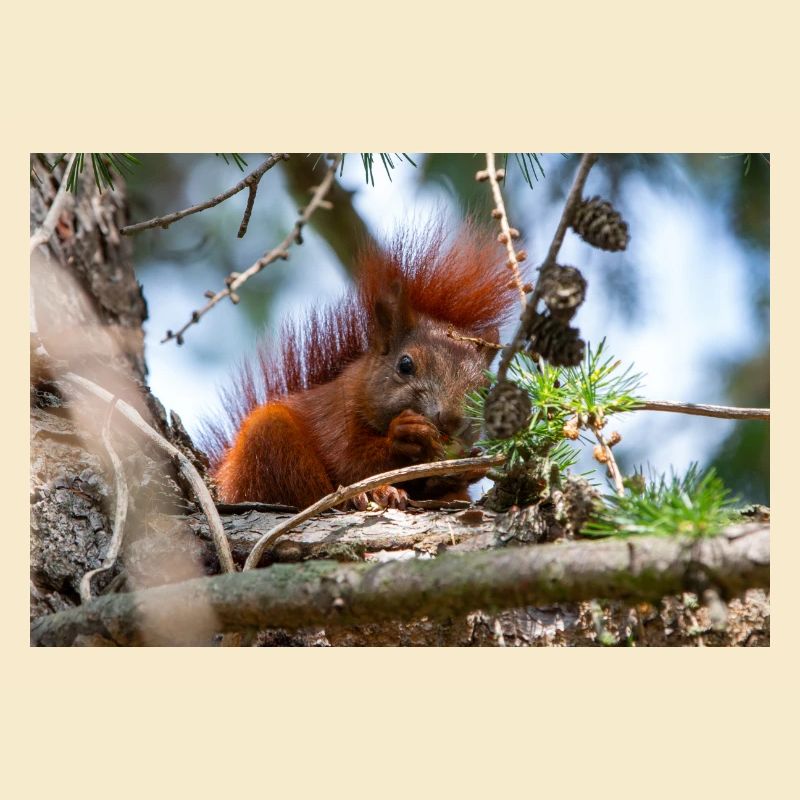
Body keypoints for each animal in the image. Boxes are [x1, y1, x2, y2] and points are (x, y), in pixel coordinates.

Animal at [201, 221, 521, 510]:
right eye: (405, 365)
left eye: (485, 389)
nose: (451, 419)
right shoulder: (334, 419)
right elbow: (351, 462)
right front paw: (405, 435)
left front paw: (470, 467)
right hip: (268, 442)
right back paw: (367, 495)